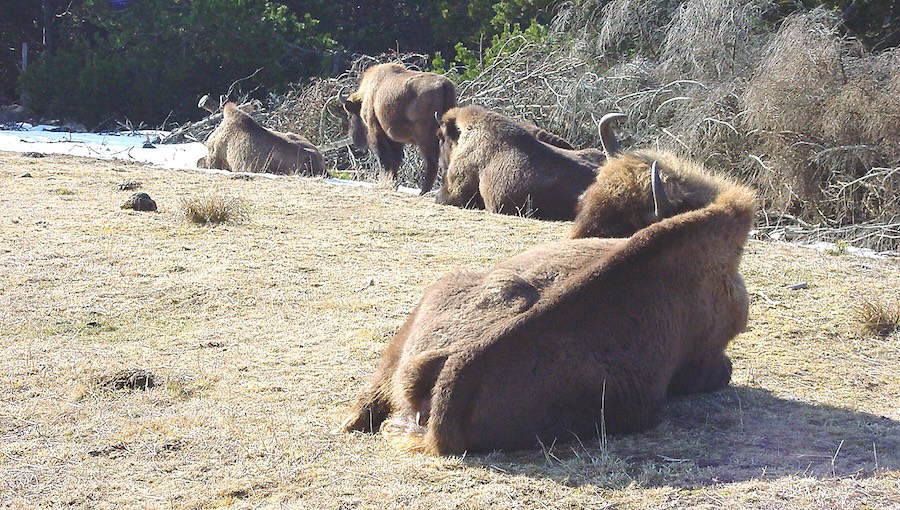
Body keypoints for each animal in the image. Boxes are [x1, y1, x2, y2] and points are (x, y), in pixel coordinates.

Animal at [342, 61, 460, 193]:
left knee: (431, 161)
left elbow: (385, 159)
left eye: (350, 115)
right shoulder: (395, 139)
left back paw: (423, 191)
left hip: (425, 138)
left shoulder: (377, 132)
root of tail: (445, 85)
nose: (353, 136)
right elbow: (396, 160)